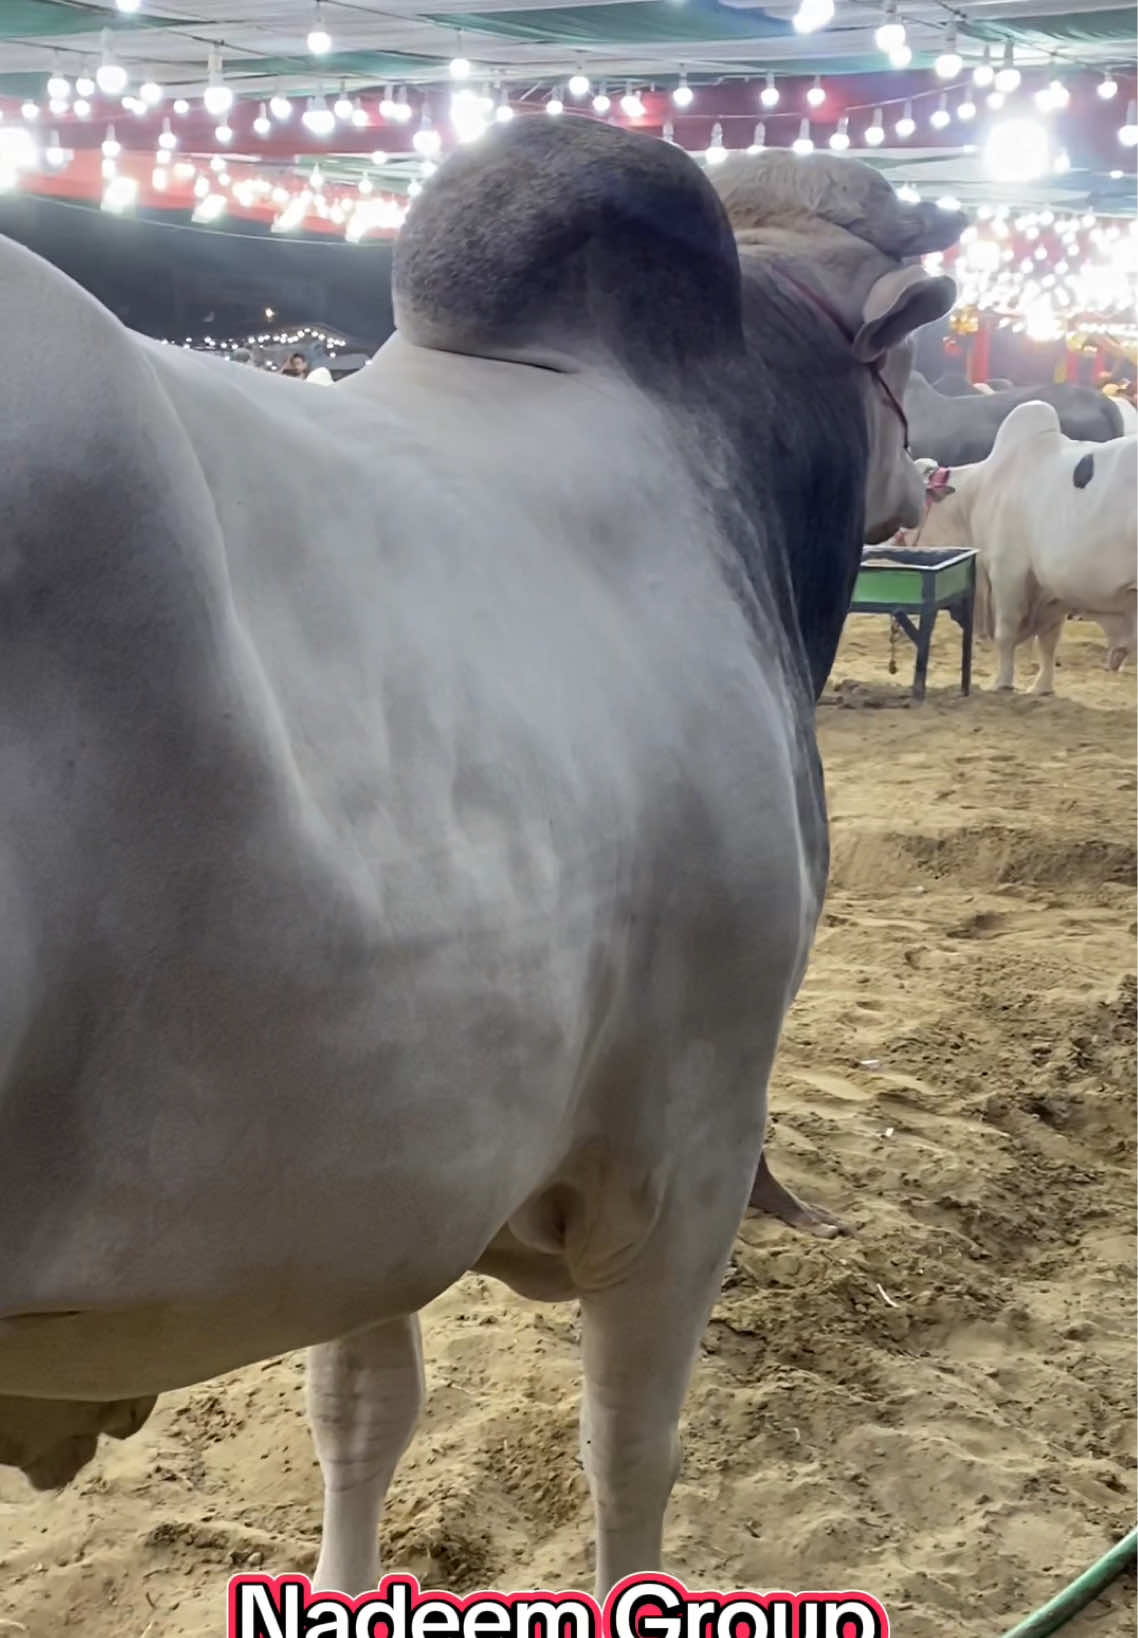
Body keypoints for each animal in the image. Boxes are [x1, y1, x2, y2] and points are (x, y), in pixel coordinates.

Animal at [899, 401, 1137, 692]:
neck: (975, 496)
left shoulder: (1007, 571)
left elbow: (1006, 633)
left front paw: (1002, 683)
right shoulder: (1050, 589)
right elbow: (1048, 642)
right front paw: (1042, 687)